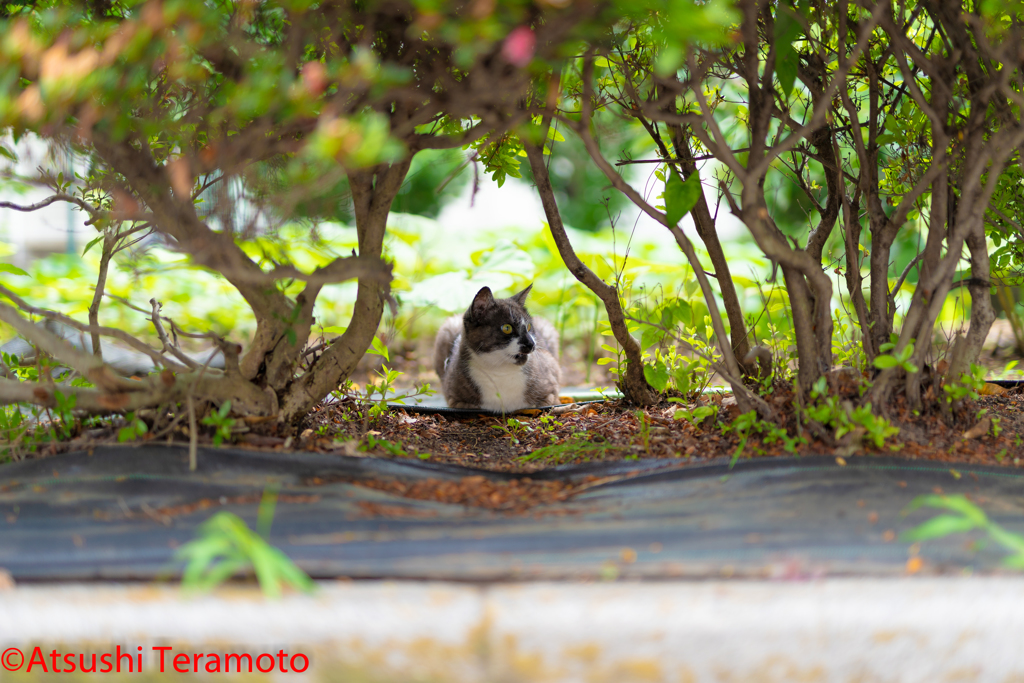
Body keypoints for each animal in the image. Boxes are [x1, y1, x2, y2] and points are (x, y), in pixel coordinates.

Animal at [430, 284, 561, 411]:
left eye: (528, 327)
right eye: (507, 328)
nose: (531, 344)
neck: (500, 371)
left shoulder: (551, 386)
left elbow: (544, 402)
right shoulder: (453, 397)